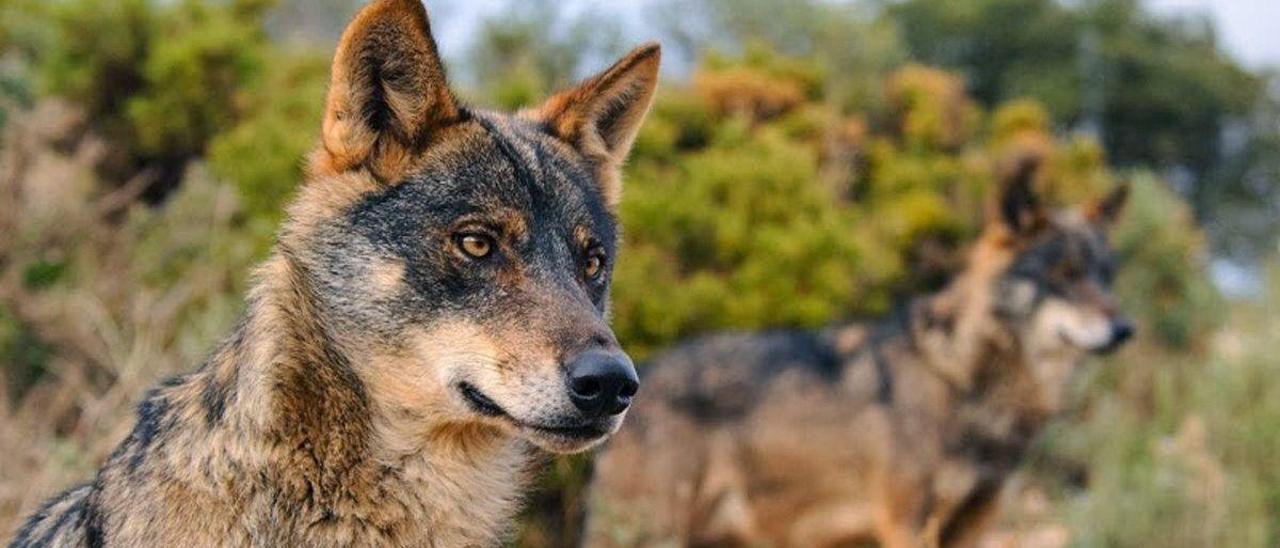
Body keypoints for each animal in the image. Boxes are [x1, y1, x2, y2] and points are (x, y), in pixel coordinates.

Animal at [586, 158, 1131, 548]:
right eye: (1063, 275)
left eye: (1104, 275)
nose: (1126, 329)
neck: (961, 376)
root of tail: (638, 376)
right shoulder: (906, 523)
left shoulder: (975, 525)